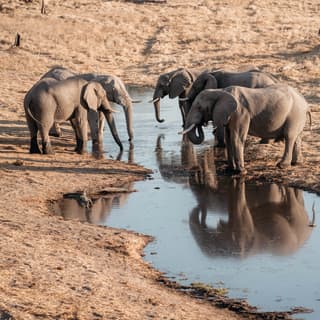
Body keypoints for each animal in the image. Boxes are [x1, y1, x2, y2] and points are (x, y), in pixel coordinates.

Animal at [182, 84, 310, 175]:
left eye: (200, 107)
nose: (201, 124)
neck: (220, 91)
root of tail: (305, 101)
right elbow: (229, 138)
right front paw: (230, 170)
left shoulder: (240, 113)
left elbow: (236, 138)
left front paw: (241, 172)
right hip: (298, 116)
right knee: (297, 137)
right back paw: (296, 163)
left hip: (295, 114)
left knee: (289, 136)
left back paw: (282, 165)